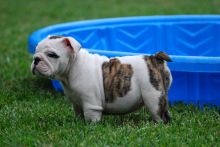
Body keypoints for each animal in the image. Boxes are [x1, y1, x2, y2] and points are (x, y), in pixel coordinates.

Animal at [31, 35, 172, 123]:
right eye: (35, 51)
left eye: (51, 55)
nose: (36, 59)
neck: (73, 67)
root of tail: (154, 58)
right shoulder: (77, 104)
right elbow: (78, 114)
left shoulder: (91, 105)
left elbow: (91, 119)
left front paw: (89, 128)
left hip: (154, 98)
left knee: (160, 115)